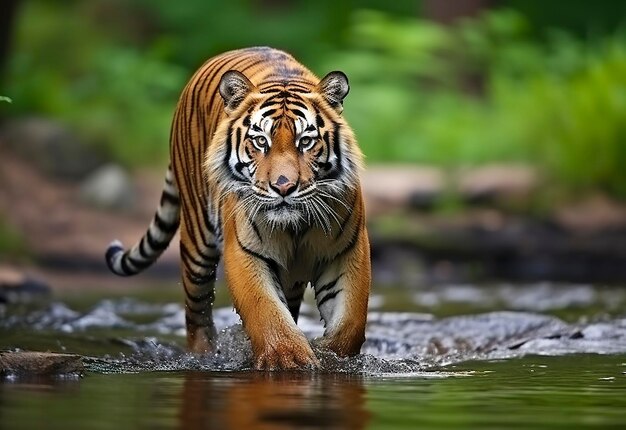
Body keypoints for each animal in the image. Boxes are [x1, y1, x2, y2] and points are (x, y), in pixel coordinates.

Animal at [106, 46, 370, 370]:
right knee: (196, 314)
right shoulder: (246, 252)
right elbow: (266, 311)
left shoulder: (347, 252)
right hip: (197, 246)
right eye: (260, 141)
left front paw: (328, 353)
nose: (283, 187)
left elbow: (350, 324)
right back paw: (203, 355)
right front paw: (289, 359)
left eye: (306, 141)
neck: (295, 226)